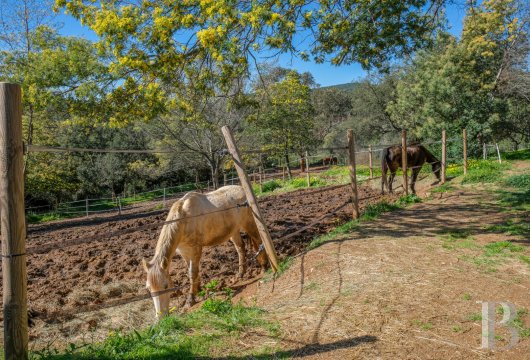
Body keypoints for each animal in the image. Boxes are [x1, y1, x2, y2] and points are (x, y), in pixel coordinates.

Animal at [141, 186, 268, 318]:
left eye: (166, 286)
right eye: (148, 289)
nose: (161, 317)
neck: (184, 220)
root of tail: (243, 190)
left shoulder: (195, 249)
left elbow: (192, 273)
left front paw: (190, 300)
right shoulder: (185, 252)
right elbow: (192, 272)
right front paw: (199, 289)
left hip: (249, 224)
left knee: (259, 241)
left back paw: (264, 267)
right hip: (233, 231)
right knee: (240, 248)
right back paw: (240, 274)